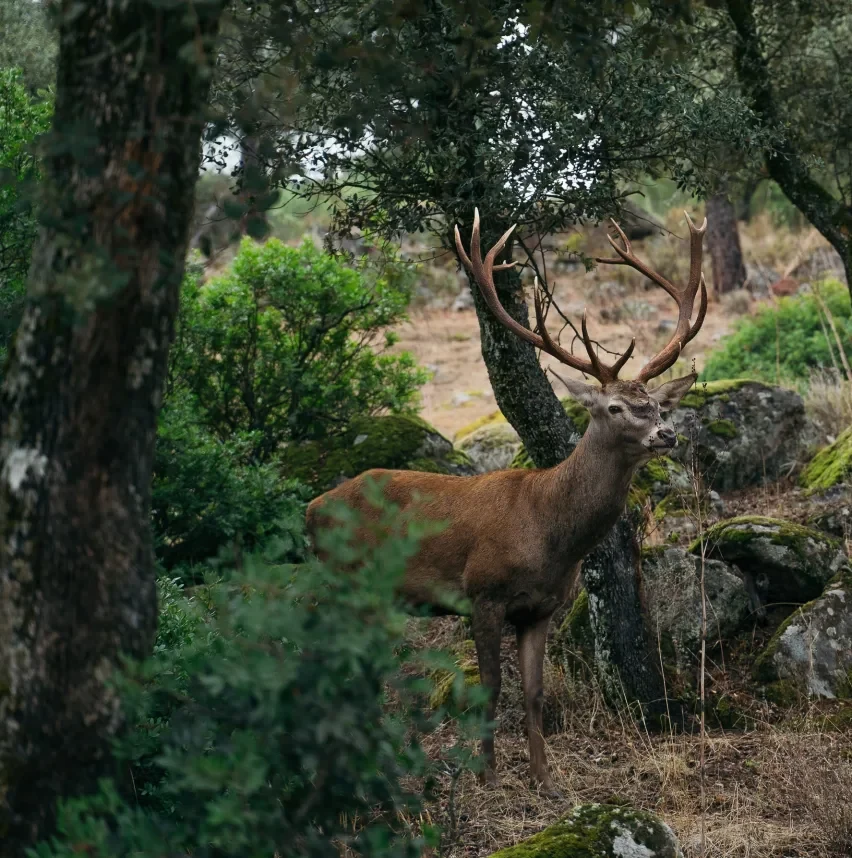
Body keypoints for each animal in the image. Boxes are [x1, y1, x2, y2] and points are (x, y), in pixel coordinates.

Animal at [306, 208, 708, 796]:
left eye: (655, 403)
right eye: (614, 406)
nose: (667, 434)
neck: (548, 530)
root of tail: (311, 508)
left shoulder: (541, 608)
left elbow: (535, 693)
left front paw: (545, 779)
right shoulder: (484, 592)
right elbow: (490, 687)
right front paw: (488, 773)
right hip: (346, 579)